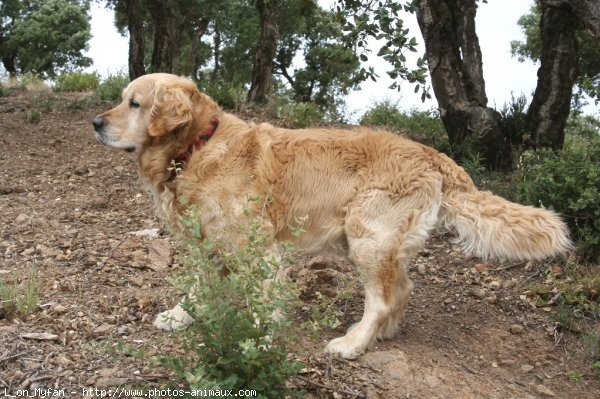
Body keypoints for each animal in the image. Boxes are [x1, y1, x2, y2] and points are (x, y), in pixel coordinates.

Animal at [94, 73, 572, 360]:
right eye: (121, 100)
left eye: (135, 103)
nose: (96, 122)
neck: (196, 147)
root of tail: (432, 153)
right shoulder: (203, 241)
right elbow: (197, 285)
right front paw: (181, 316)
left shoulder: (258, 245)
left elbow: (262, 299)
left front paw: (259, 336)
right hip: (382, 242)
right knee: (401, 290)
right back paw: (380, 334)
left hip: (367, 236)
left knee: (381, 299)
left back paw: (353, 343)